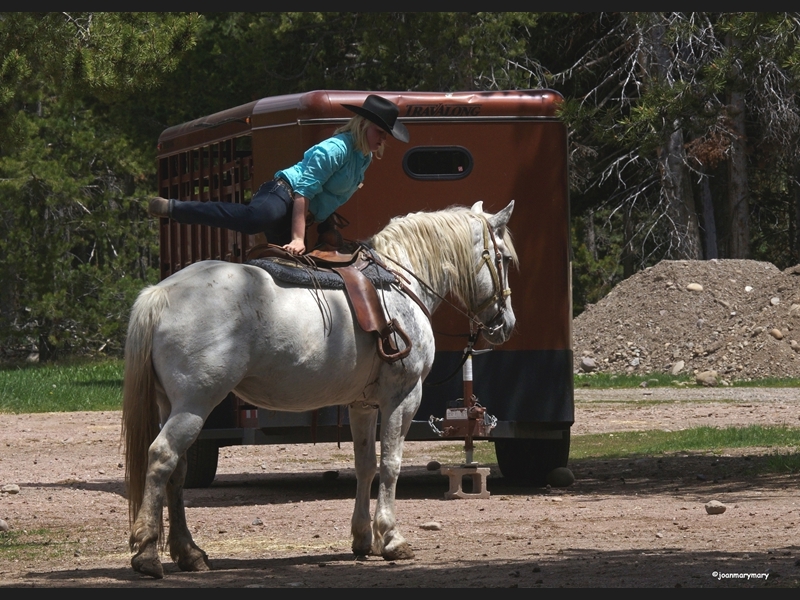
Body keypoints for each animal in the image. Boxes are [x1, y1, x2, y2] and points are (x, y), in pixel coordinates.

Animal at [122, 200, 516, 576]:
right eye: (506, 258)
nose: (506, 324)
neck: (401, 283)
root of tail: (160, 293)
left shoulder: (362, 405)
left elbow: (365, 465)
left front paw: (363, 539)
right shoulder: (403, 398)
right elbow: (390, 464)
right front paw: (391, 538)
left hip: (170, 405)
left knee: (178, 472)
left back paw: (189, 553)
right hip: (195, 405)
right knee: (162, 457)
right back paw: (147, 553)